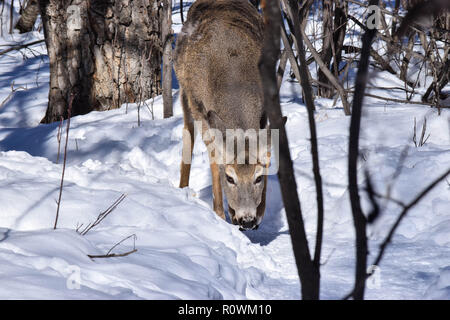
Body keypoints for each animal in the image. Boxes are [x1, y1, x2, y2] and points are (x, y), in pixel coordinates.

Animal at [173, 0, 270, 230]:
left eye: (258, 178)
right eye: (230, 178)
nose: (247, 220)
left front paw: (260, 212)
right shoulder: (203, 112)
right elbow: (215, 159)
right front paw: (220, 214)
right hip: (185, 93)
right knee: (188, 134)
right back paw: (182, 189)